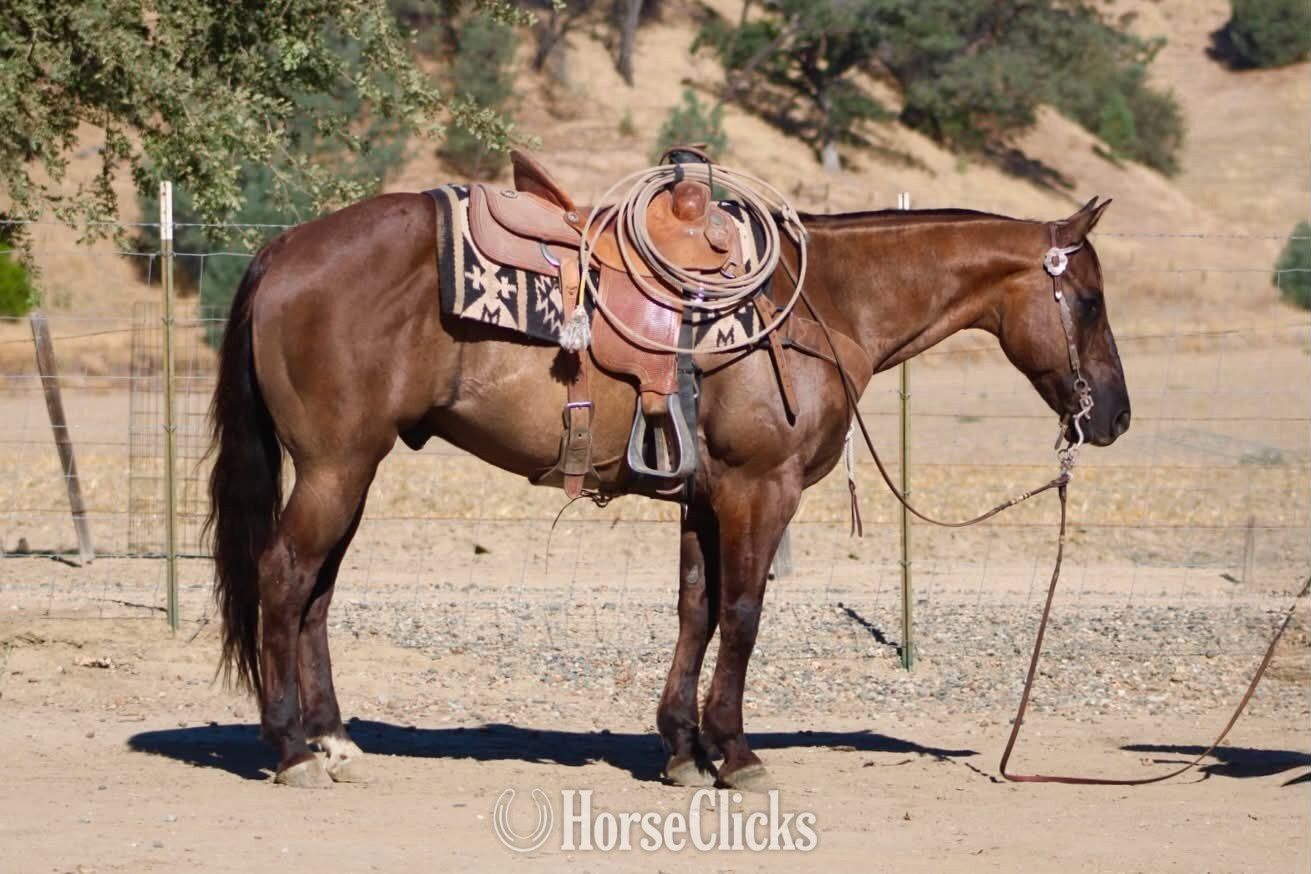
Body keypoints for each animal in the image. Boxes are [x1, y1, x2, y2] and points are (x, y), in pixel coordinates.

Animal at [206, 189, 1130, 789]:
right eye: (1087, 300)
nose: (1115, 415)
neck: (820, 306)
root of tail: (284, 248)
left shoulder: (702, 496)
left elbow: (695, 610)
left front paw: (684, 750)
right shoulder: (760, 490)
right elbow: (742, 614)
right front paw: (737, 753)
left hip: (351, 470)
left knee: (317, 592)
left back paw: (332, 737)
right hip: (334, 467)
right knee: (285, 577)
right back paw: (289, 748)